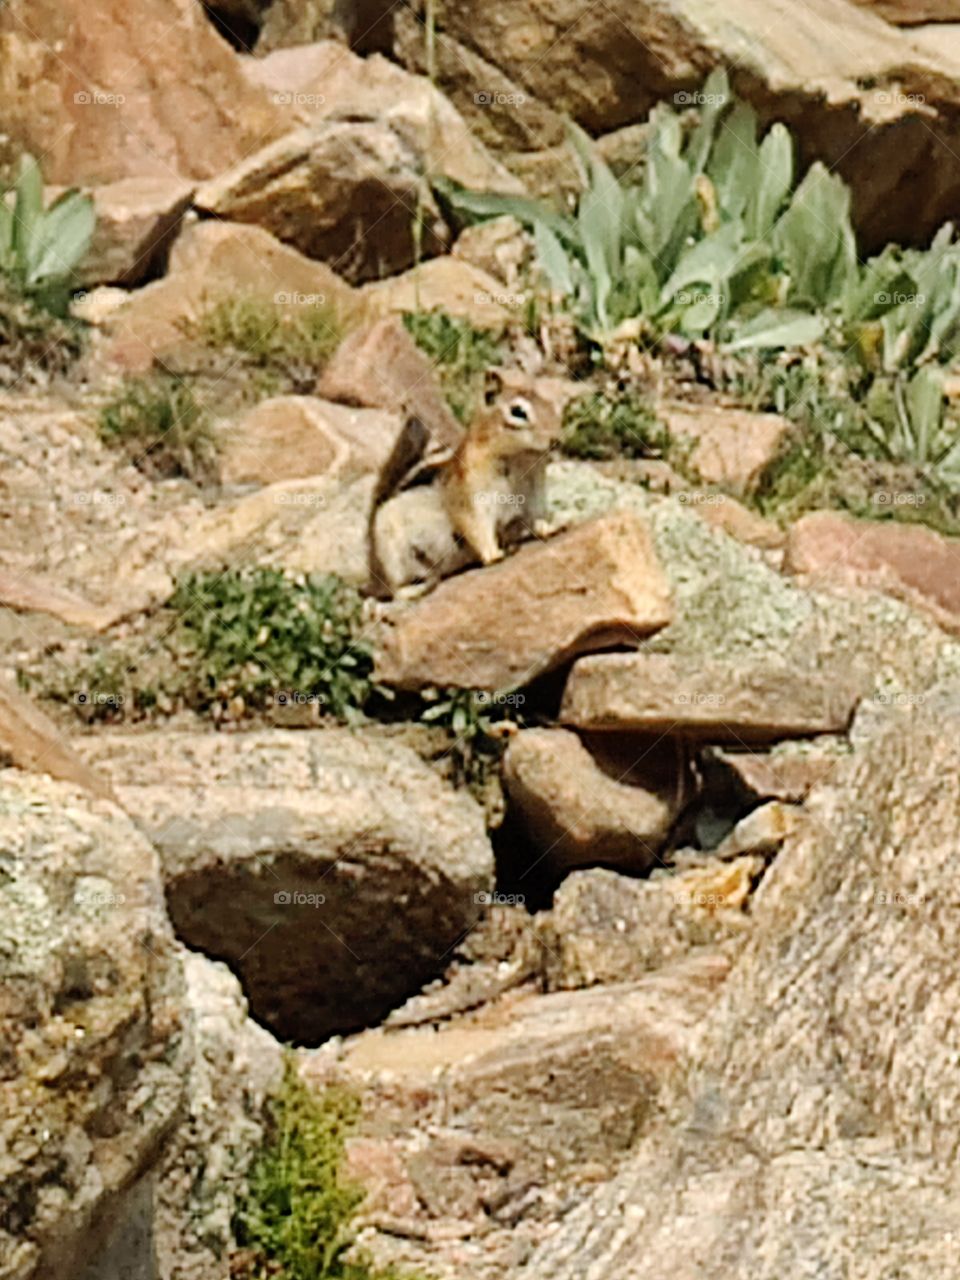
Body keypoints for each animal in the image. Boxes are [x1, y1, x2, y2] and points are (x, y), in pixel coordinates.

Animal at [367, 369, 562, 598]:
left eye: (549, 404)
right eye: (518, 412)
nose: (556, 440)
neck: (519, 457)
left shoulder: (535, 489)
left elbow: (537, 514)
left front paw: (550, 528)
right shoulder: (473, 497)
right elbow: (478, 527)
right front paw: (494, 554)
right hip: (393, 557)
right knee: (395, 591)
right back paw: (416, 589)